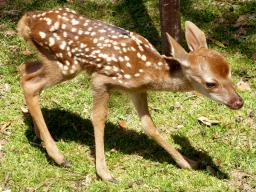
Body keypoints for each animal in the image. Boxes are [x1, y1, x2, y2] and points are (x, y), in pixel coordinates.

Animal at [17, 7, 243, 182]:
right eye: (210, 83)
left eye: (230, 71)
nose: (238, 102)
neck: (150, 70)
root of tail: (26, 20)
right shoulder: (101, 79)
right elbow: (98, 118)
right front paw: (105, 173)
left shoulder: (136, 89)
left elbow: (149, 126)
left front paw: (187, 162)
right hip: (65, 63)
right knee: (31, 85)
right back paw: (58, 156)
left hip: (51, 61)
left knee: (24, 69)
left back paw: (40, 136)